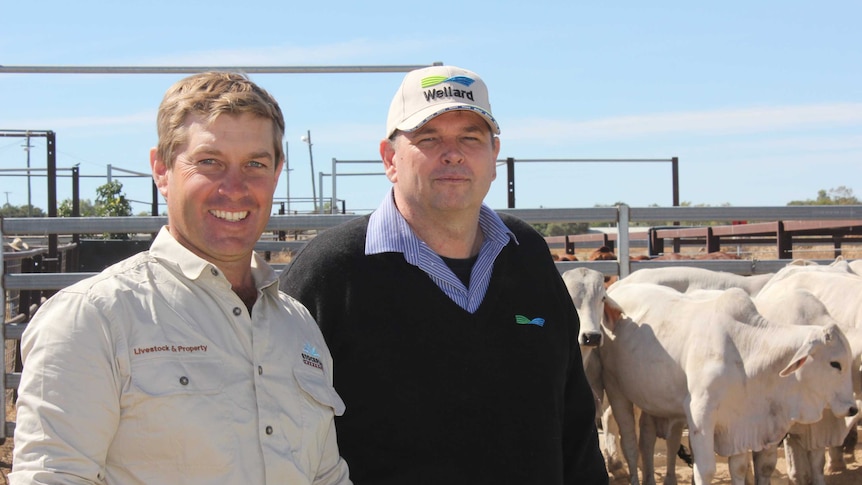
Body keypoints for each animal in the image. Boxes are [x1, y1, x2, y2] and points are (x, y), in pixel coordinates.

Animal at [600, 284, 856, 484]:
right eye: (835, 363)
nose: (853, 408)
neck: (745, 350)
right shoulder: (700, 414)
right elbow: (705, 470)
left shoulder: (740, 423)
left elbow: (741, 467)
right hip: (615, 389)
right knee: (630, 443)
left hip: (654, 404)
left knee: (651, 440)